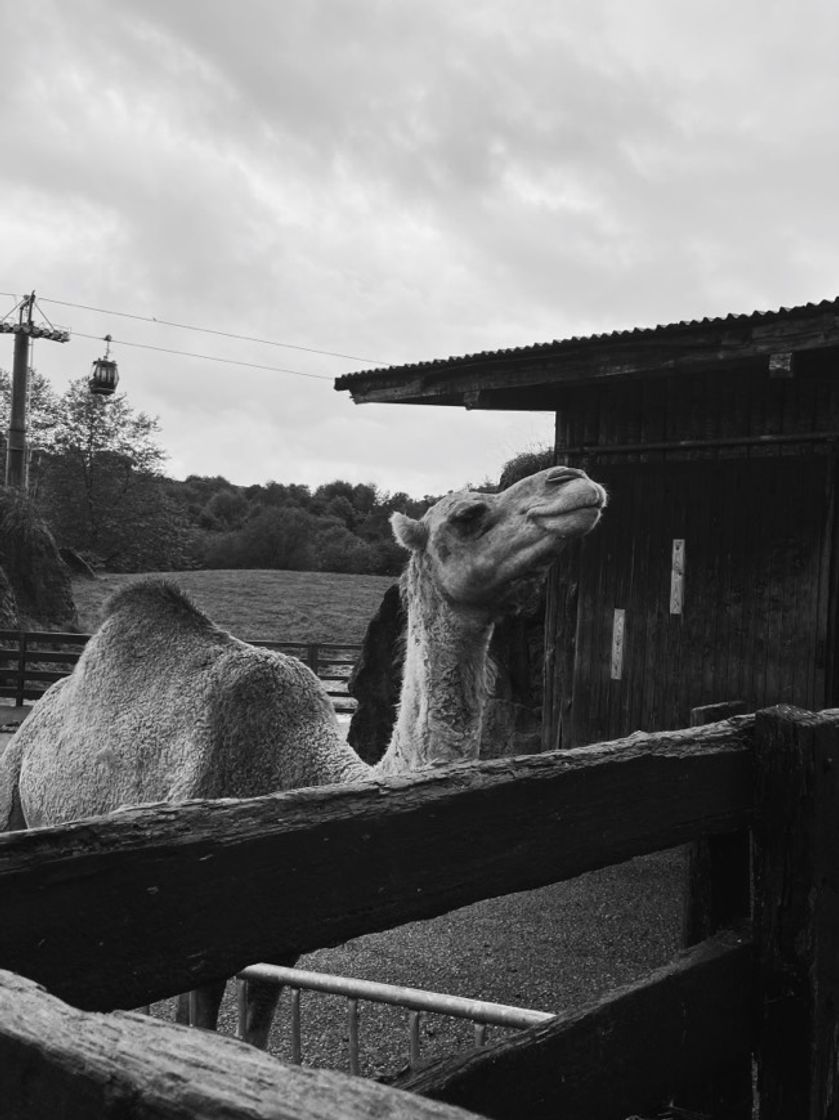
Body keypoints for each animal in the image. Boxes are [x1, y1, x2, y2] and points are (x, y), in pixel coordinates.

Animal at [0, 459, 600, 1043]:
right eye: (468, 514)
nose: (575, 481)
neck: (302, 772)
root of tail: (34, 715)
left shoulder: (281, 944)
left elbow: (253, 1039)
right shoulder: (202, 930)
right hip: (13, 800)